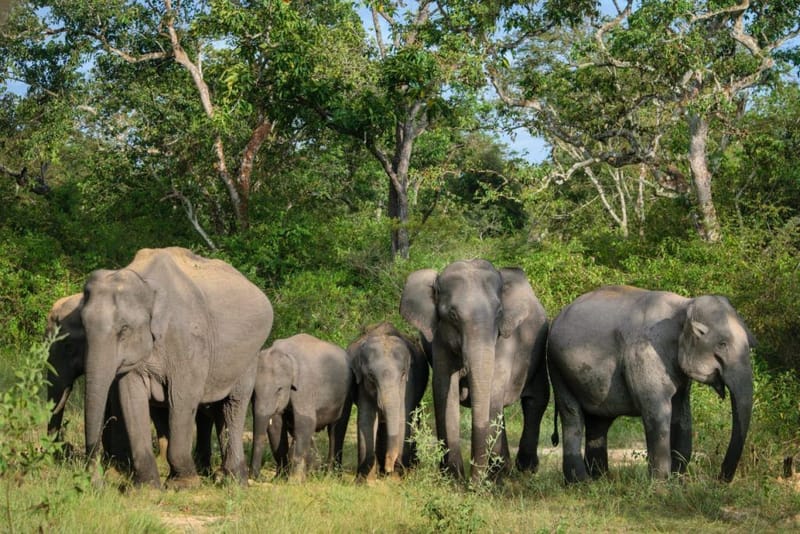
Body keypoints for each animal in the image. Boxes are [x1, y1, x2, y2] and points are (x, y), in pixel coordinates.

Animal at [80, 247, 273, 488]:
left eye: (124, 329)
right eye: (83, 327)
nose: (97, 482)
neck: (146, 284)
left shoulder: (187, 340)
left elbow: (182, 397)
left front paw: (183, 484)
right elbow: (130, 398)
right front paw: (146, 488)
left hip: (249, 356)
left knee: (234, 405)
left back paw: (235, 481)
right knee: (220, 409)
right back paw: (224, 476)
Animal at [250, 334, 354, 482]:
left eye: (279, 389)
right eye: (253, 392)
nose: (258, 477)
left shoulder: (304, 387)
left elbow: (306, 421)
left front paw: (294, 481)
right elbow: (276, 426)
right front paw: (280, 478)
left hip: (347, 394)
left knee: (337, 429)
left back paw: (331, 477)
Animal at [346, 322, 429, 481]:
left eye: (403, 374)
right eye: (371, 376)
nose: (389, 466)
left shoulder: (408, 384)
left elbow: (402, 418)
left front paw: (395, 479)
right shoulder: (362, 385)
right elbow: (366, 419)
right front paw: (365, 481)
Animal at [400, 259, 550, 481]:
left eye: (499, 313)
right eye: (452, 315)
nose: (474, 481)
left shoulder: (505, 339)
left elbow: (493, 391)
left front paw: (491, 479)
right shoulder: (439, 340)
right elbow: (444, 390)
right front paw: (452, 478)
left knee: (535, 401)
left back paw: (523, 470)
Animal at [547, 285, 755, 483]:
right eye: (722, 344)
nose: (719, 479)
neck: (685, 306)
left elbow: (682, 413)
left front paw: (678, 482)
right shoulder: (644, 352)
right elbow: (657, 411)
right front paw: (660, 485)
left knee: (599, 422)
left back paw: (601, 480)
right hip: (558, 368)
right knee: (572, 416)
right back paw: (580, 483)